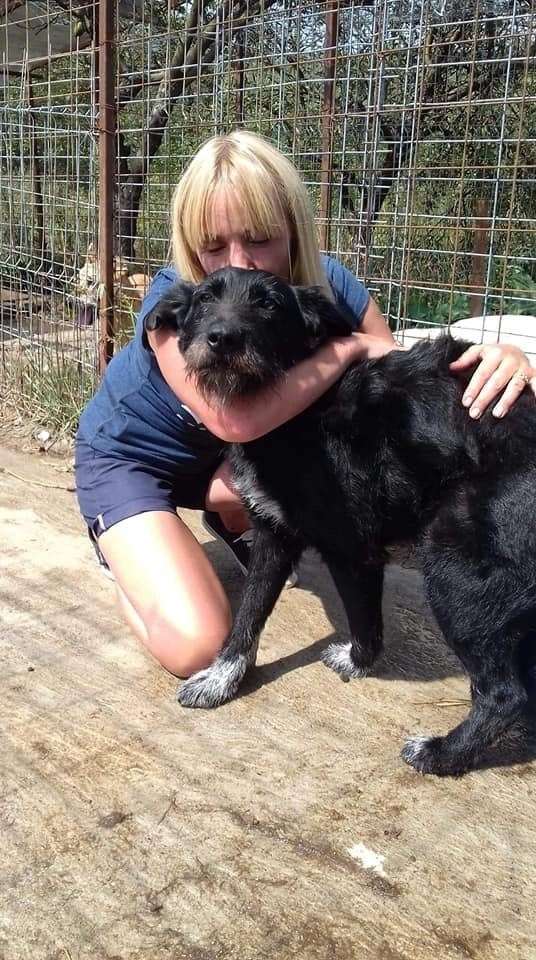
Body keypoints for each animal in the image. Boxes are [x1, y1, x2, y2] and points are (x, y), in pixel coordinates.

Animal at [146, 266, 536, 776]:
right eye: (206, 299)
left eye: (269, 304)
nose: (223, 338)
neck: (296, 409)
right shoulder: (274, 534)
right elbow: (248, 616)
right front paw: (221, 679)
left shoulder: (351, 549)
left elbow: (363, 620)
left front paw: (358, 661)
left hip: (458, 571)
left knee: (506, 694)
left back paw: (440, 754)